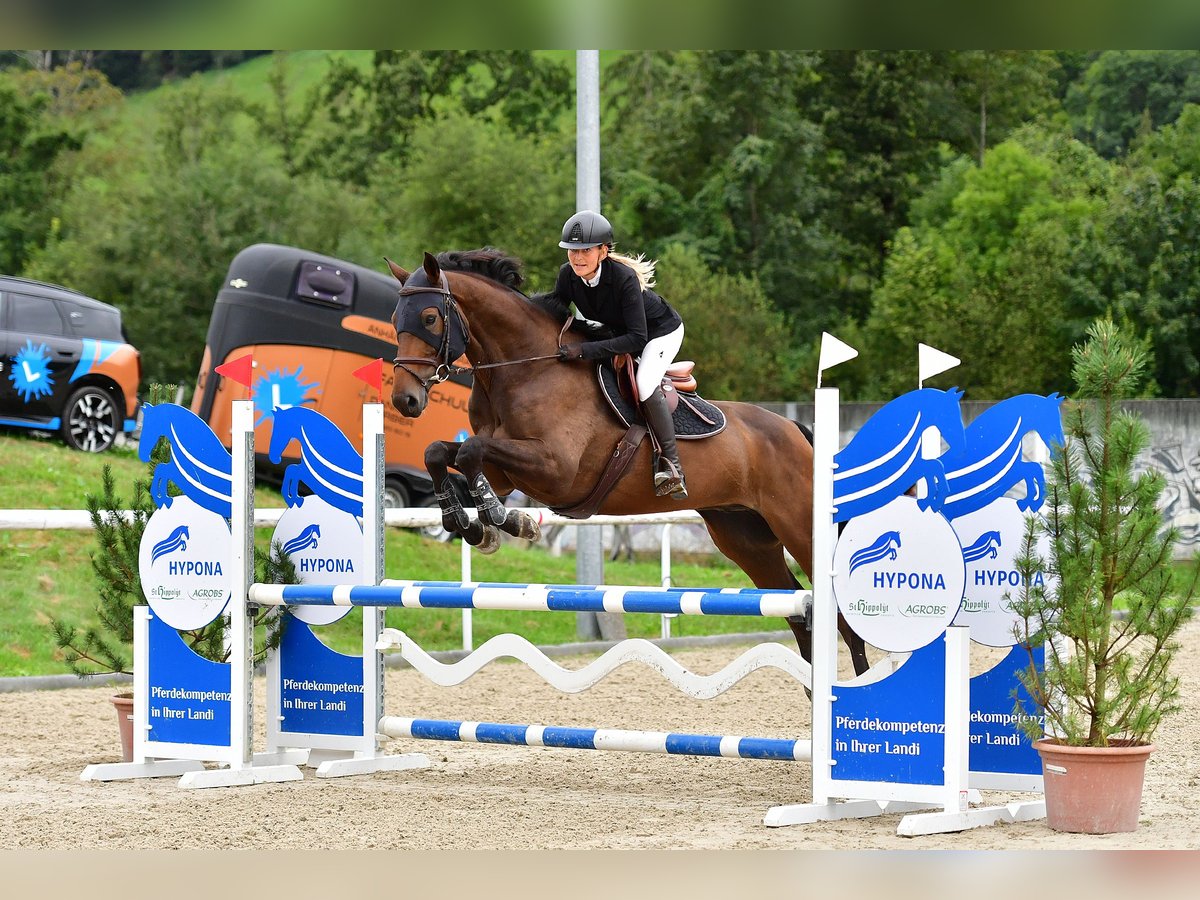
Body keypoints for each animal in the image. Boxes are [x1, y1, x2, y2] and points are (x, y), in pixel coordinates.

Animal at [388, 248, 868, 676]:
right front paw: (467, 524)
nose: (404, 401)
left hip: (799, 527)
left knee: (840, 619)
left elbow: (471, 452)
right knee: (797, 612)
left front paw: (505, 521)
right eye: (395, 321)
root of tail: (797, 432)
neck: (525, 369)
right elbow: (441, 453)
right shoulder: (504, 472)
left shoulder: (555, 469)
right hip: (744, 536)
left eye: (429, 318)